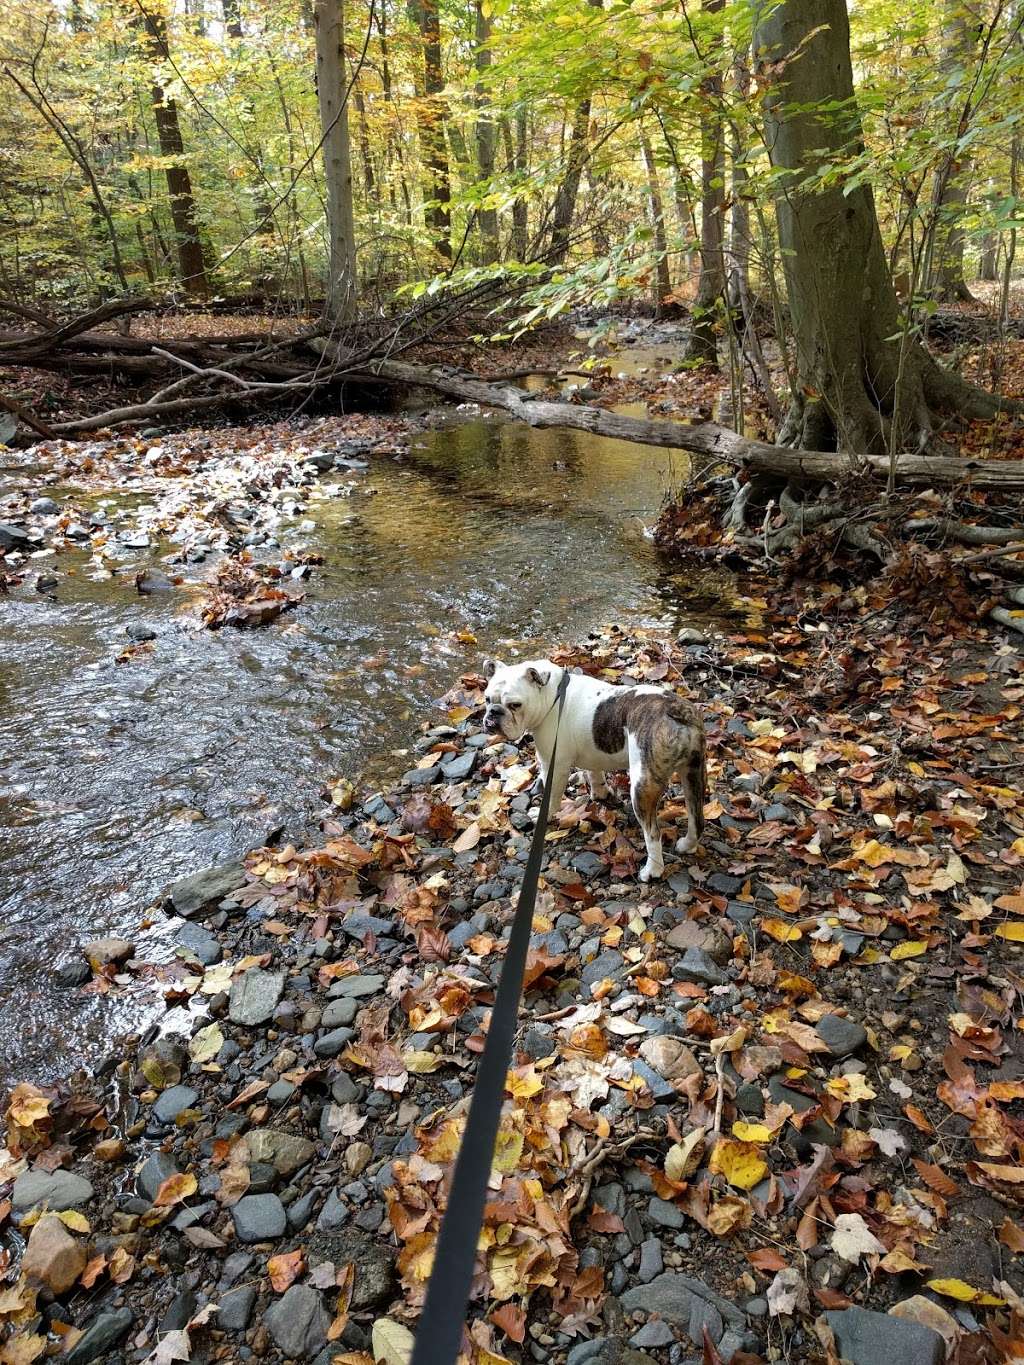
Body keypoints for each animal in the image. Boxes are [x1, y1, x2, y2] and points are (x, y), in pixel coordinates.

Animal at [483, 660, 704, 884]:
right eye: (487, 699)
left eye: (515, 705)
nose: (493, 712)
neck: (552, 696)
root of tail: (675, 710)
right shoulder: (592, 753)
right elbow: (595, 773)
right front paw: (601, 794)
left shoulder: (554, 765)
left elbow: (551, 797)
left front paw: (543, 814)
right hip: (693, 773)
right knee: (696, 819)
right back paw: (687, 845)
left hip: (642, 785)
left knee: (652, 834)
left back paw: (652, 870)